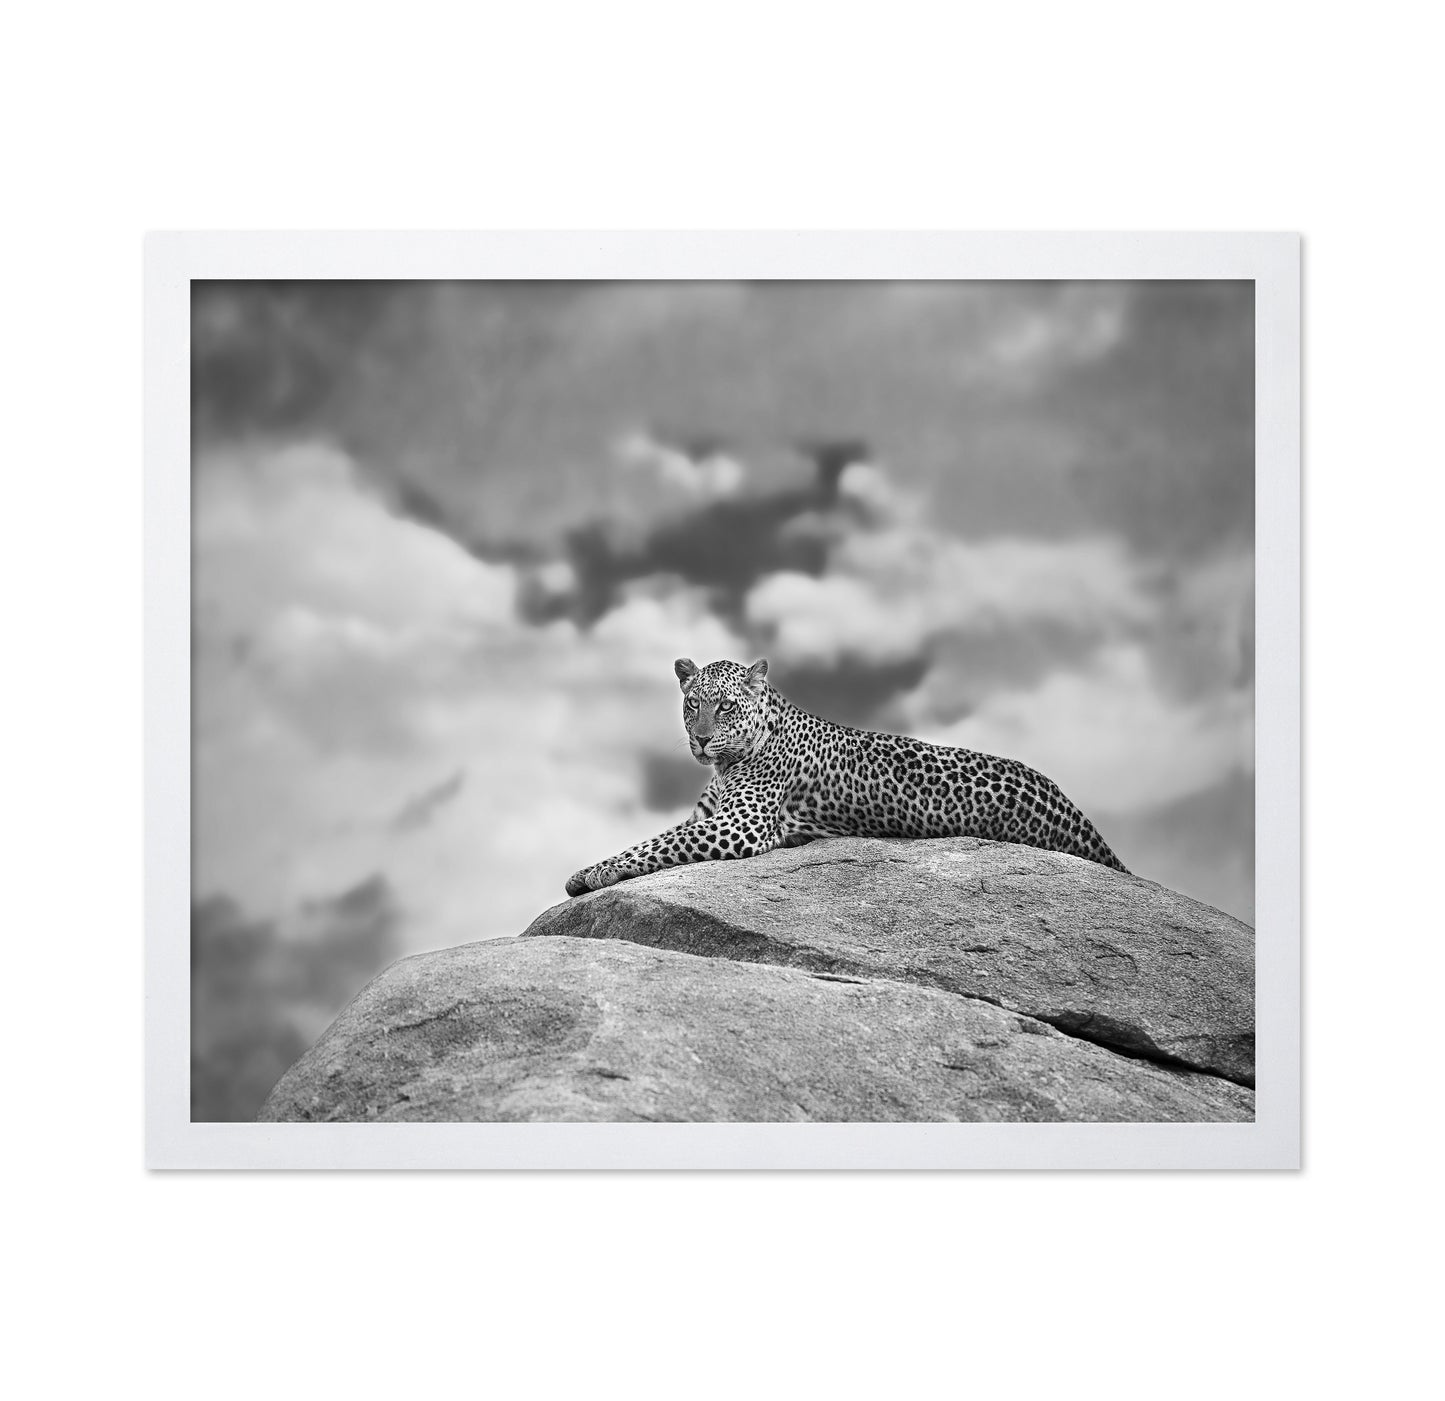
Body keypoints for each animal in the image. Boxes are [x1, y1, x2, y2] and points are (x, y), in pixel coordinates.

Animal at [565, 657, 1128, 896]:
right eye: (691, 706)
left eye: (724, 707)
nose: (701, 740)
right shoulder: (708, 816)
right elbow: (653, 840)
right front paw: (589, 870)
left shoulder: (738, 825)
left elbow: (657, 845)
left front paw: (593, 873)